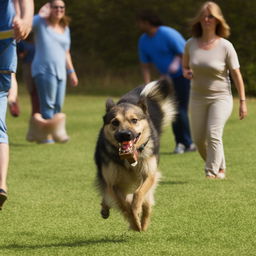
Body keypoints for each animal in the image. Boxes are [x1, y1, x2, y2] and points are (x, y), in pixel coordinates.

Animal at [94, 78, 176, 232]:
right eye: (115, 122)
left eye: (134, 120)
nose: (125, 134)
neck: (129, 157)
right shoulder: (113, 182)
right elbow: (124, 204)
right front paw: (133, 222)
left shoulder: (149, 173)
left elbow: (138, 195)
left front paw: (137, 217)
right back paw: (107, 209)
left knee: (147, 204)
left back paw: (143, 223)